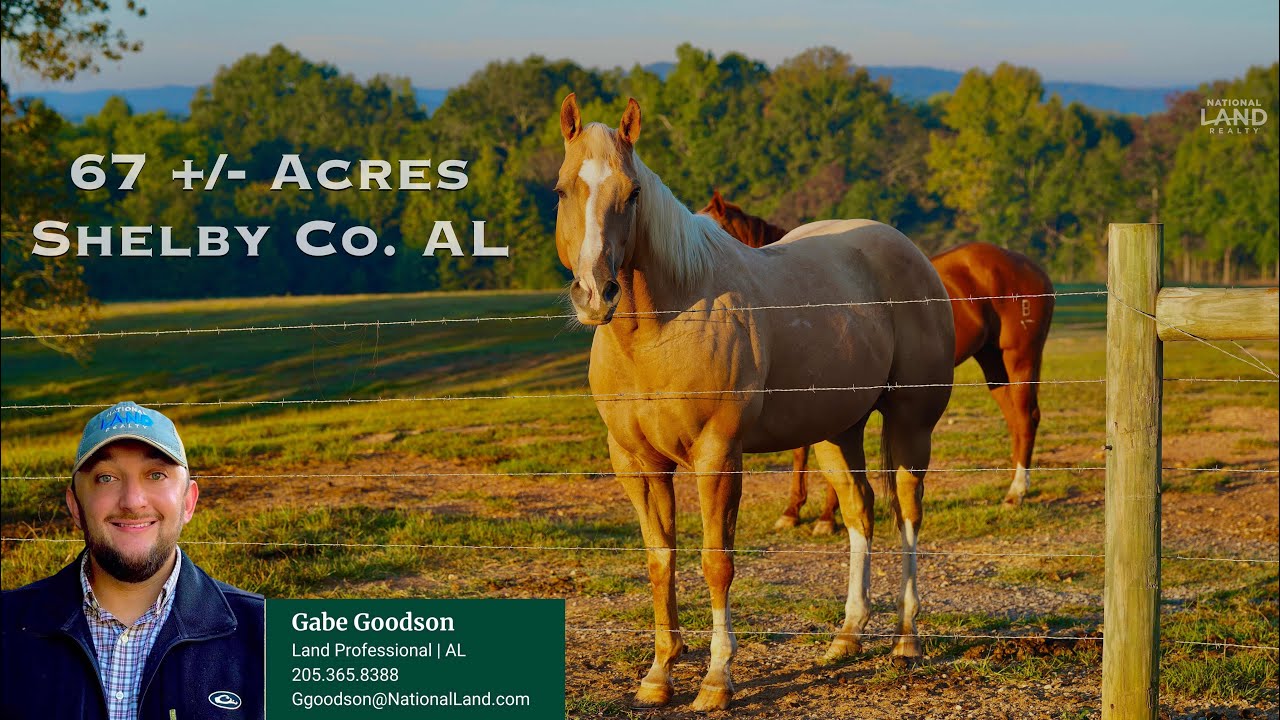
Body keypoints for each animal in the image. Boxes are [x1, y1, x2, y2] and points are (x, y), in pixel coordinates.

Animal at [554, 95, 954, 711]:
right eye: (561, 190)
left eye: (633, 192)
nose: (596, 294)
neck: (658, 331)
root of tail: (908, 252)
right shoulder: (637, 463)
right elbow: (659, 559)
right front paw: (659, 675)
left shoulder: (718, 455)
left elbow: (716, 562)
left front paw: (717, 679)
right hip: (836, 431)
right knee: (860, 511)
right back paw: (847, 638)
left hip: (911, 424)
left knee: (908, 515)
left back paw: (906, 641)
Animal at [699, 190, 1055, 536]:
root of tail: (1030, 268)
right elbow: (801, 452)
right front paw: (792, 511)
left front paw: (826, 517)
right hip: (994, 365)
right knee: (1015, 419)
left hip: (1019, 358)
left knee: (1026, 418)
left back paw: (1016, 493)